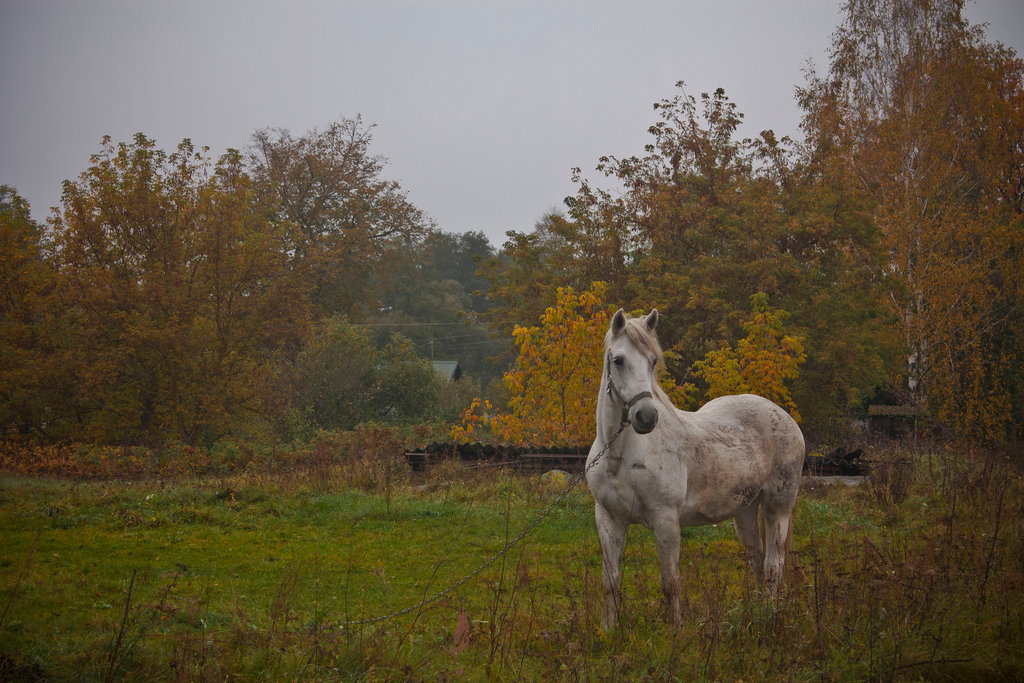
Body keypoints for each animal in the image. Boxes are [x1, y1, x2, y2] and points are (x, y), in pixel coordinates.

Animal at [585, 308, 804, 630]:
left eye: (653, 361)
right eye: (619, 360)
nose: (646, 416)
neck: (619, 454)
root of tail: (784, 417)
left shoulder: (665, 520)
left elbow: (670, 583)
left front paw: (677, 633)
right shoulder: (608, 518)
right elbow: (610, 582)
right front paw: (607, 631)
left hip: (778, 507)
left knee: (773, 566)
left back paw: (769, 617)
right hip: (746, 510)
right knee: (756, 558)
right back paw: (755, 613)